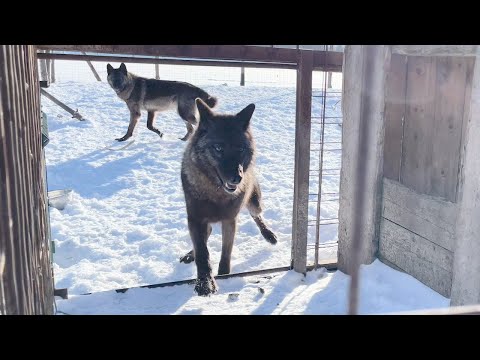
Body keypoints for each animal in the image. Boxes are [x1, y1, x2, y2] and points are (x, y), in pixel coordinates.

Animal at [179, 97, 278, 296]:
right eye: (218, 148)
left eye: (240, 149)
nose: (237, 178)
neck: (215, 193)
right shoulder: (195, 219)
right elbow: (202, 252)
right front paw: (205, 282)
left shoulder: (230, 221)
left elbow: (226, 253)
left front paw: (224, 275)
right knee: (207, 233)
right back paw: (190, 254)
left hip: (254, 202)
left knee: (257, 215)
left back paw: (268, 234)